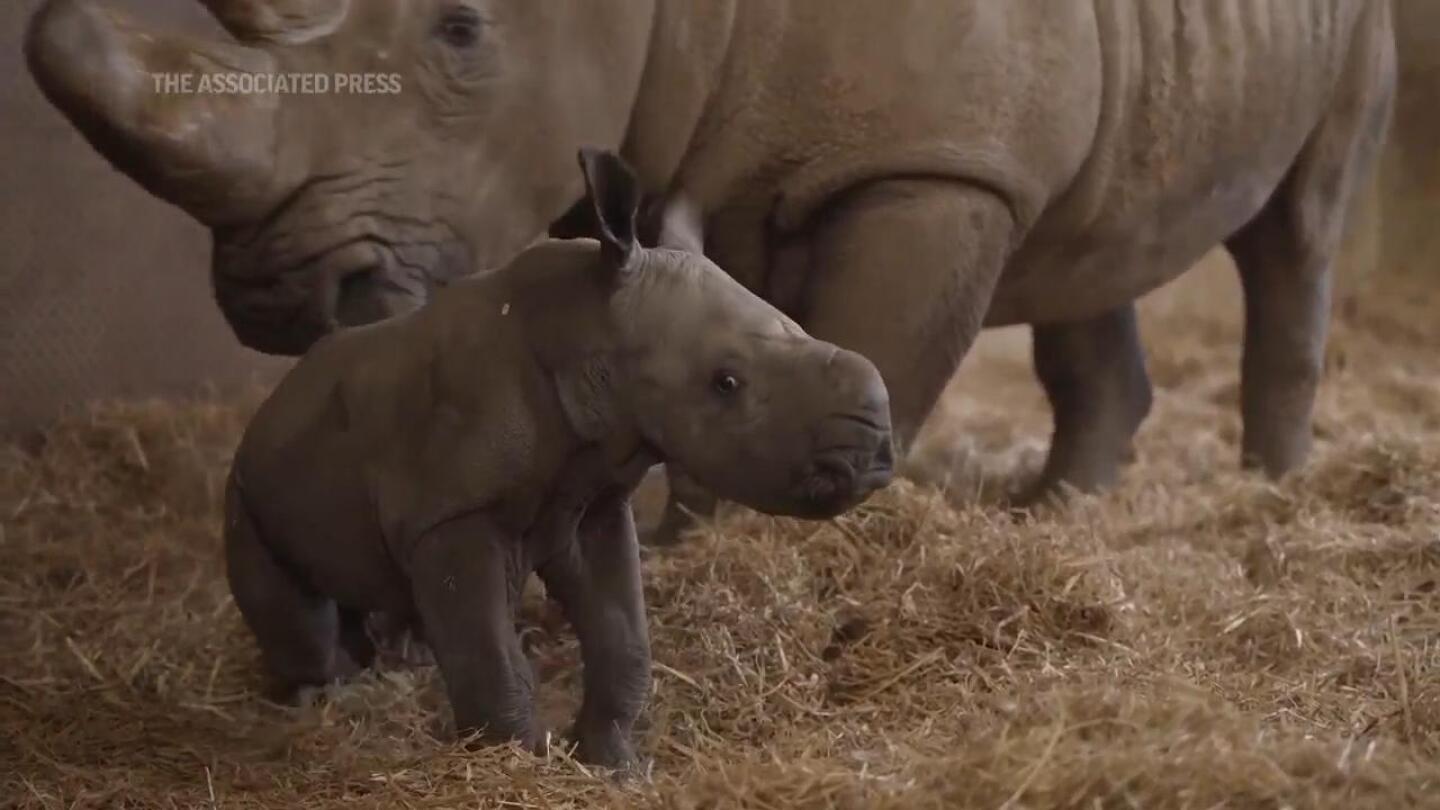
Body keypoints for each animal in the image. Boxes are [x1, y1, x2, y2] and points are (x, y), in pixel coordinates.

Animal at [25, 1, 1393, 510]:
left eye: (463, 29)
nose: (278, 296)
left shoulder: (936, 163)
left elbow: (880, 348)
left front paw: (750, 538)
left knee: (1301, 227)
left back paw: (1274, 496)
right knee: (1090, 243)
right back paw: (1060, 513)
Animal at [221, 149, 887, 760]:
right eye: (726, 383)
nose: (876, 451)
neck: (586, 330)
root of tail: (267, 409)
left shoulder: (589, 497)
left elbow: (622, 637)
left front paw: (611, 764)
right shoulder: (454, 513)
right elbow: (490, 655)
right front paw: (515, 760)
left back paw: (395, 662)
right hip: (247, 482)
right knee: (300, 613)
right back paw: (329, 697)